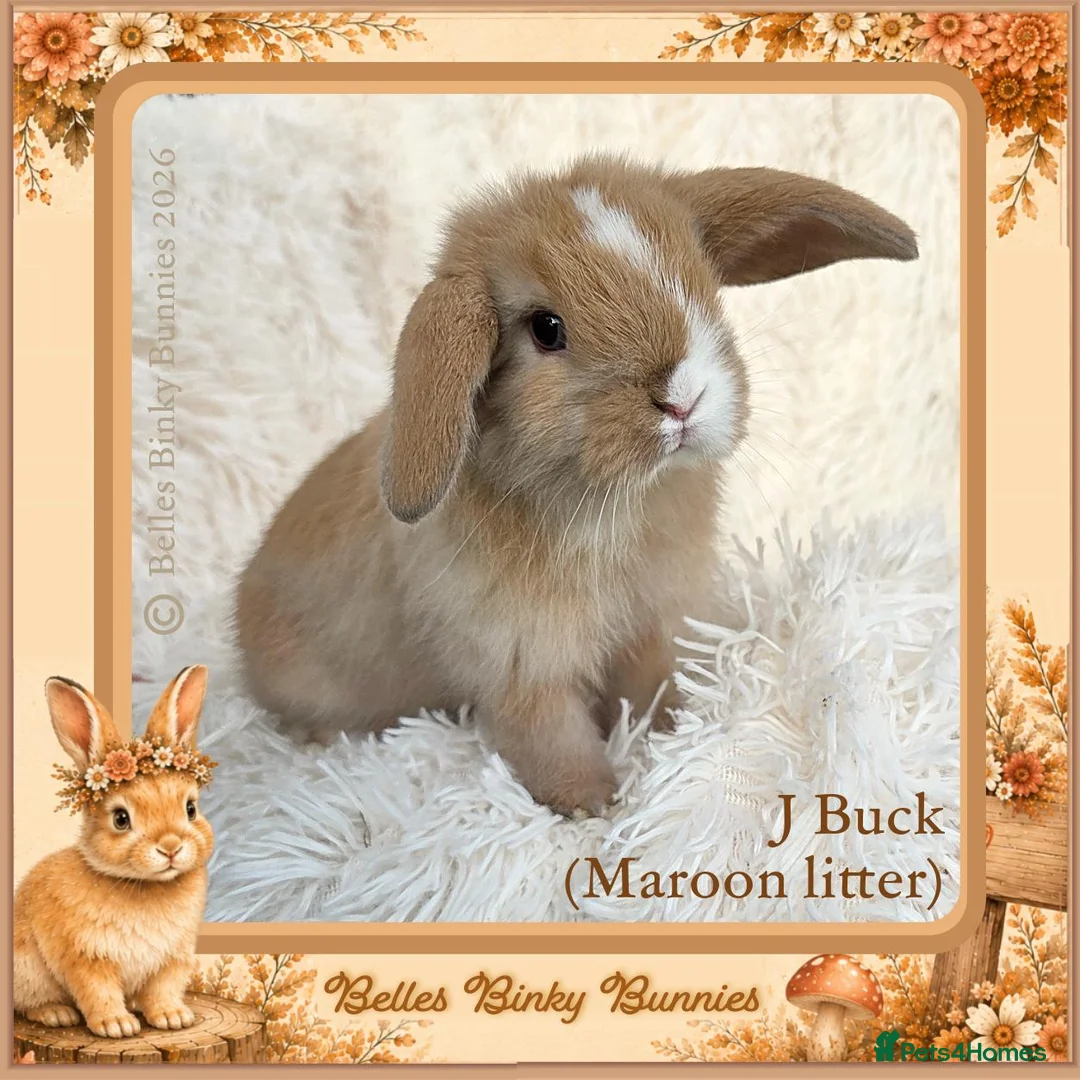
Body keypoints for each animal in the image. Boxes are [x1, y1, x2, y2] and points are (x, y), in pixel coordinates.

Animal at [13, 667, 214, 1038]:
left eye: (190, 809)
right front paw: (116, 1025)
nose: (171, 847)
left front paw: (173, 1018)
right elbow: (98, 991)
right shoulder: (87, 957)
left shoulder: (172, 959)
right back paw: (56, 1014)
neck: (143, 886)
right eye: (121, 819)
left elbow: (163, 990)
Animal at [234, 153, 917, 816]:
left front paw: (675, 737)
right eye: (546, 328)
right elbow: (551, 736)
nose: (683, 399)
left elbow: (655, 690)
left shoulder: (656, 625)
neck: (614, 504)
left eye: (700, 282)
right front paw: (596, 806)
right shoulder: (521, 663)